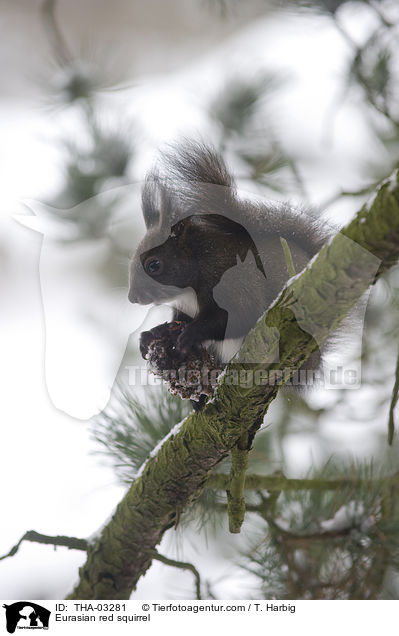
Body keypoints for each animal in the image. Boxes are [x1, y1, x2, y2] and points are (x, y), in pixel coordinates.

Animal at [130, 143, 330, 382]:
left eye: (154, 265)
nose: (132, 298)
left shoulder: (233, 283)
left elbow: (239, 316)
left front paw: (190, 334)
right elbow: (179, 322)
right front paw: (153, 334)